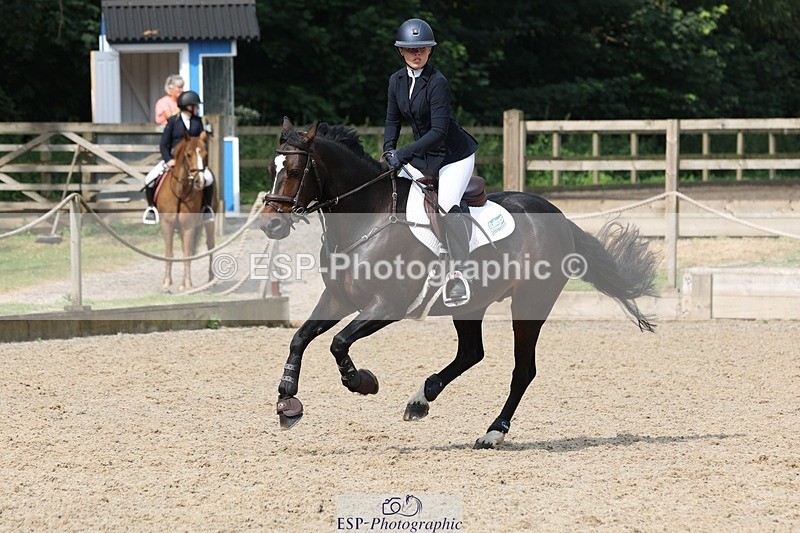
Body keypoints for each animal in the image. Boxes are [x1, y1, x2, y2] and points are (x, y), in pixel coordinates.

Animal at [155, 132, 216, 291]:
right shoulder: (167, 224)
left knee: (210, 245)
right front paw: (167, 282)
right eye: (188, 155)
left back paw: (211, 278)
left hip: (209, 223)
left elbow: (187, 253)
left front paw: (188, 284)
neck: (180, 191)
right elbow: (169, 252)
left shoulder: (188, 226)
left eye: (205, 154)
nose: (200, 182)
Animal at [260, 118, 659, 449]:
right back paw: (422, 399)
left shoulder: (387, 305)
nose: (270, 225)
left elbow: (339, 342)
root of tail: (559, 217)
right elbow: (301, 338)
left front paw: (362, 383)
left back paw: (493, 432)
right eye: (270, 169)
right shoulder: (338, 298)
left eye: (294, 170)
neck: (365, 218)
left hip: (530, 303)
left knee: (523, 369)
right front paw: (287, 401)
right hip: (471, 303)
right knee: (471, 352)